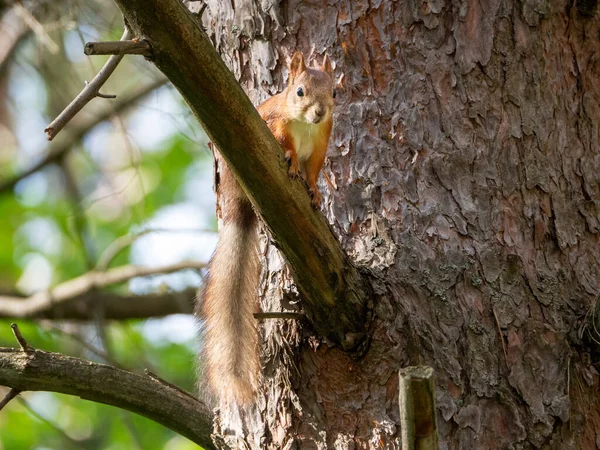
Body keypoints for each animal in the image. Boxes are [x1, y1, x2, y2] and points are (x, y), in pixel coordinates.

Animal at [198, 51, 336, 402]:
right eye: (299, 91)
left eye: (334, 93)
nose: (320, 112)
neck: (307, 127)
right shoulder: (277, 124)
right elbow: (286, 145)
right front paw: (290, 160)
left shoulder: (321, 144)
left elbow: (313, 172)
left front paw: (315, 192)